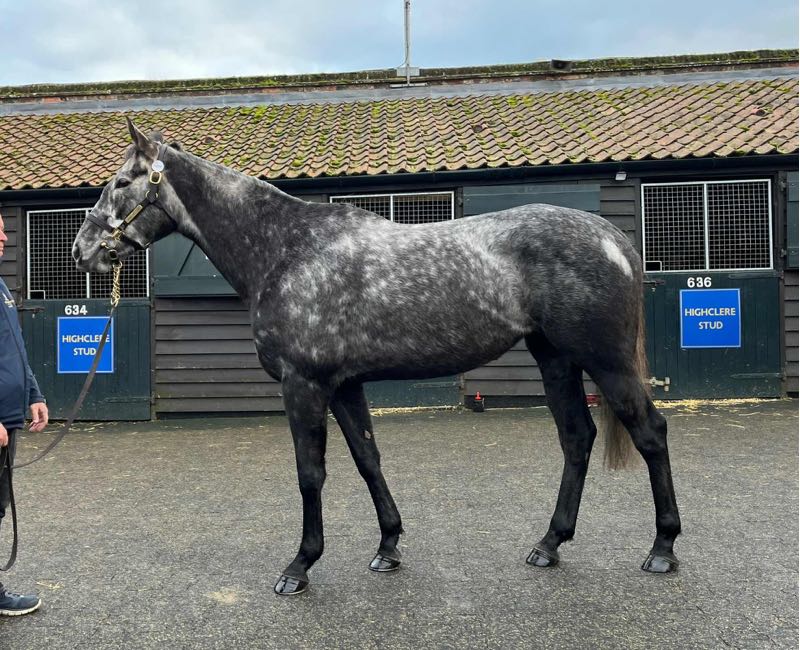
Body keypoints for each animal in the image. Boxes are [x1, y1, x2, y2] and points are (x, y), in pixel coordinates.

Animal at [72, 119, 681, 595]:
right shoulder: (344, 384)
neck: (287, 250)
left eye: (121, 182)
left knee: (649, 432)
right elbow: (368, 458)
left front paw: (300, 566)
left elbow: (310, 472)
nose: (82, 251)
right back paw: (549, 543)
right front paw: (388, 547)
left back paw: (662, 548)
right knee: (577, 438)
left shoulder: (303, 384)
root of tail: (611, 236)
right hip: (555, 358)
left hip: (606, 360)